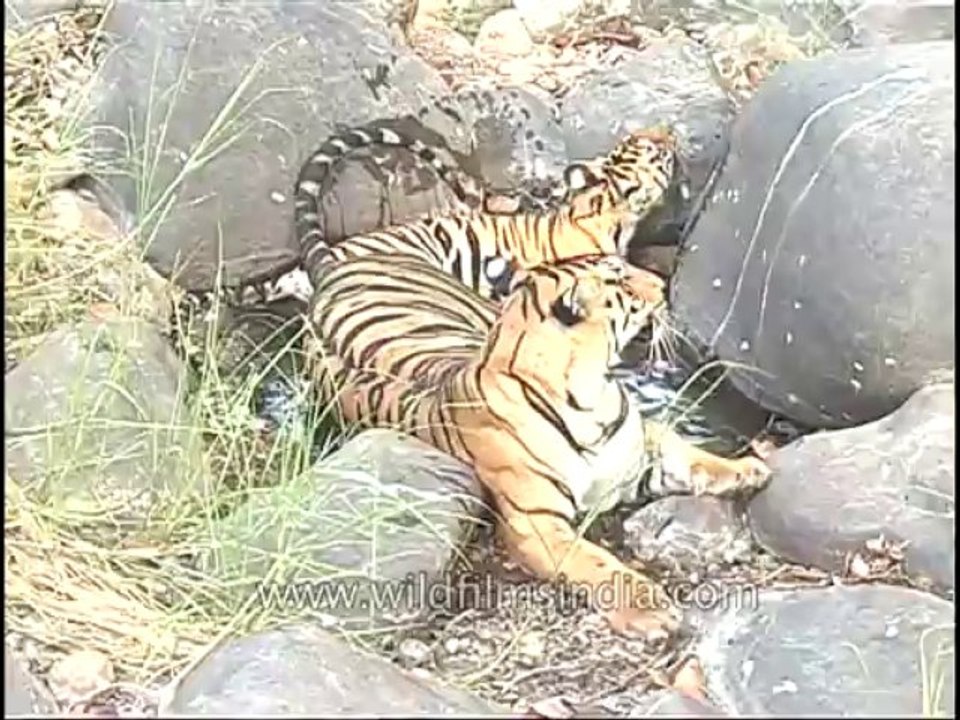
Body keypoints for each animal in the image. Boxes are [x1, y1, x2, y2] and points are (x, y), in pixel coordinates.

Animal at [304, 252, 773, 638]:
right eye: (620, 279)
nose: (661, 283)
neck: (592, 396)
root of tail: (340, 265)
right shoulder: (536, 521)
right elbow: (595, 561)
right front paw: (648, 610)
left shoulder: (638, 452)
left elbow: (689, 454)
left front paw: (748, 469)